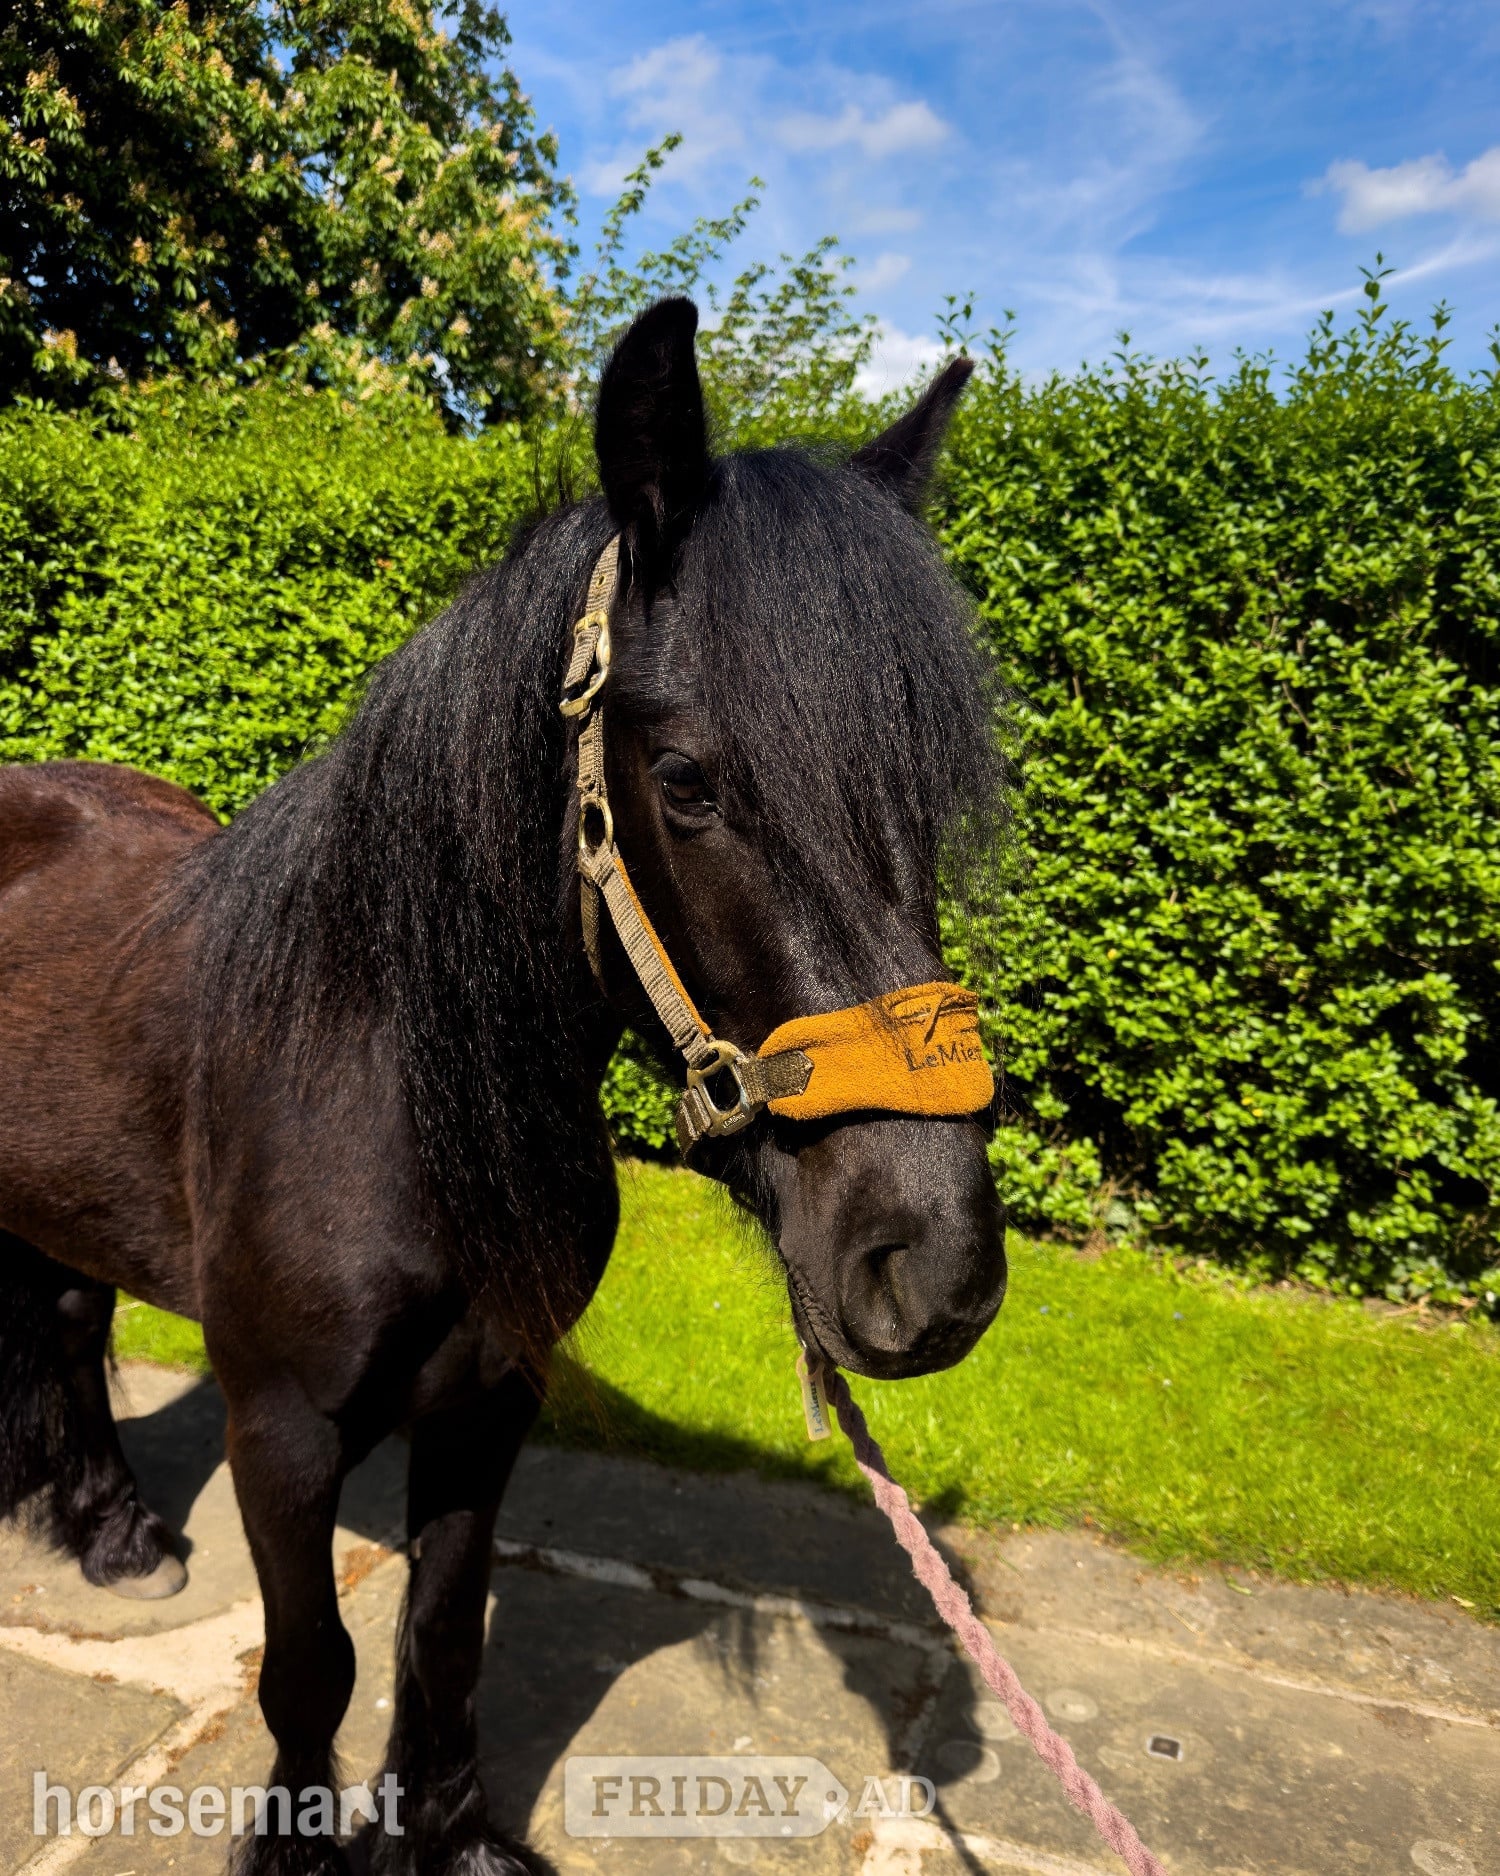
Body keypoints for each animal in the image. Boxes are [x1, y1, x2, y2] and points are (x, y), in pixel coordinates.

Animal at [0, 297, 1007, 1876]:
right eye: (688, 779)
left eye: (926, 787)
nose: (934, 1265)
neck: (389, 1087)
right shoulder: (281, 1433)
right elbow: (314, 1667)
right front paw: (300, 1849)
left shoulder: (489, 1399)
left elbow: (442, 1639)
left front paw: (450, 1835)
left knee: (61, 1312)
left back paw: (114, 1533)